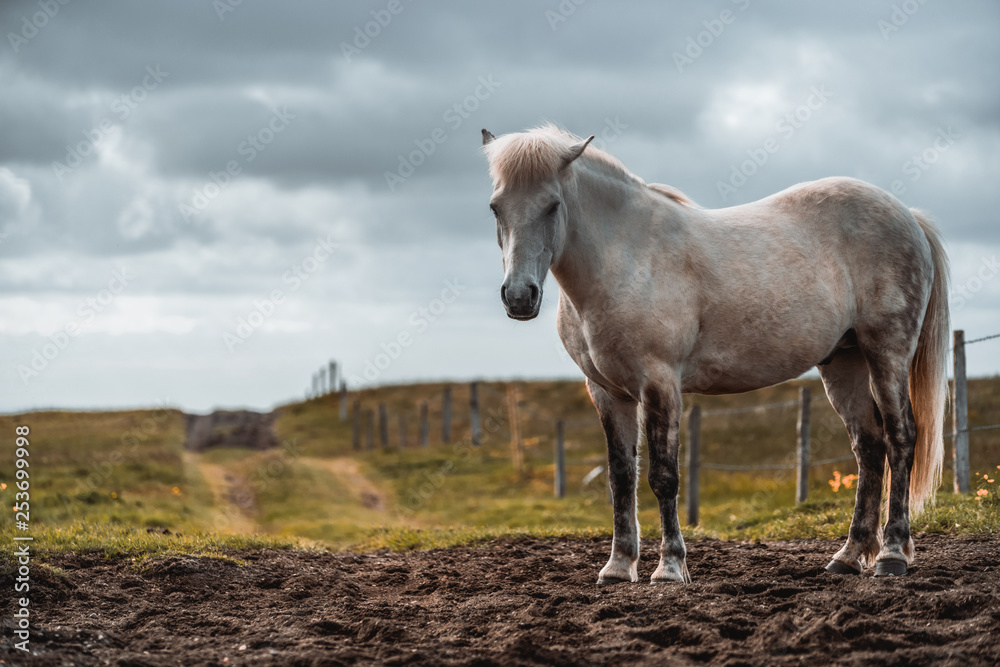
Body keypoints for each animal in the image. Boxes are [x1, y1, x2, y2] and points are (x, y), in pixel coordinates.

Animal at [480, 125, 948, 584]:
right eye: (495, 208)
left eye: (552, 205)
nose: (519, 296)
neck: (626, 258)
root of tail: (909, 216)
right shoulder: (606, 392)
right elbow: (621, 478)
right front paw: (618, 566)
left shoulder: (660, 383)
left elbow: (663, 477)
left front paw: (669, 568)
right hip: (843, 364)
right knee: (869, 448)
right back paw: (848, 557)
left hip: (886, 353)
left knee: (901, 438)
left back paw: (891, 555)